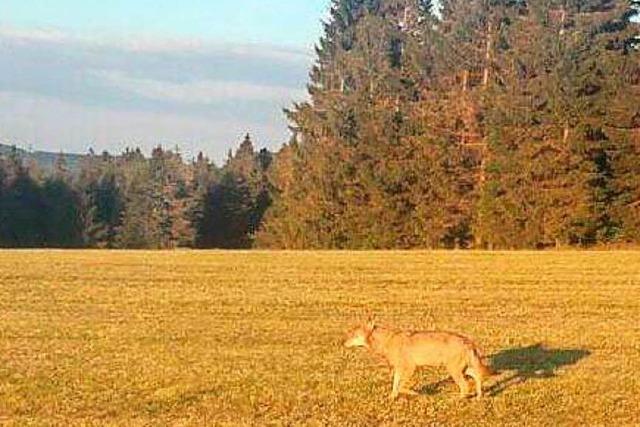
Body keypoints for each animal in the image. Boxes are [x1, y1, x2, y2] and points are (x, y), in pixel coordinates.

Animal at [344, 320, 496, 400]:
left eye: (354, 335)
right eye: (350, 334)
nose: (343, 343)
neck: (387, 341)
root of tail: (468, 340)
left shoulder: (410, 368)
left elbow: (402, 386)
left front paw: (414, 393)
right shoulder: (398, 369)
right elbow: (395, 385)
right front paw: (392, 397)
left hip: (454, 371)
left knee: (466, 386)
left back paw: (457, 399)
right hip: (463, 369)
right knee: (477, 378)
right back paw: (478, 397)